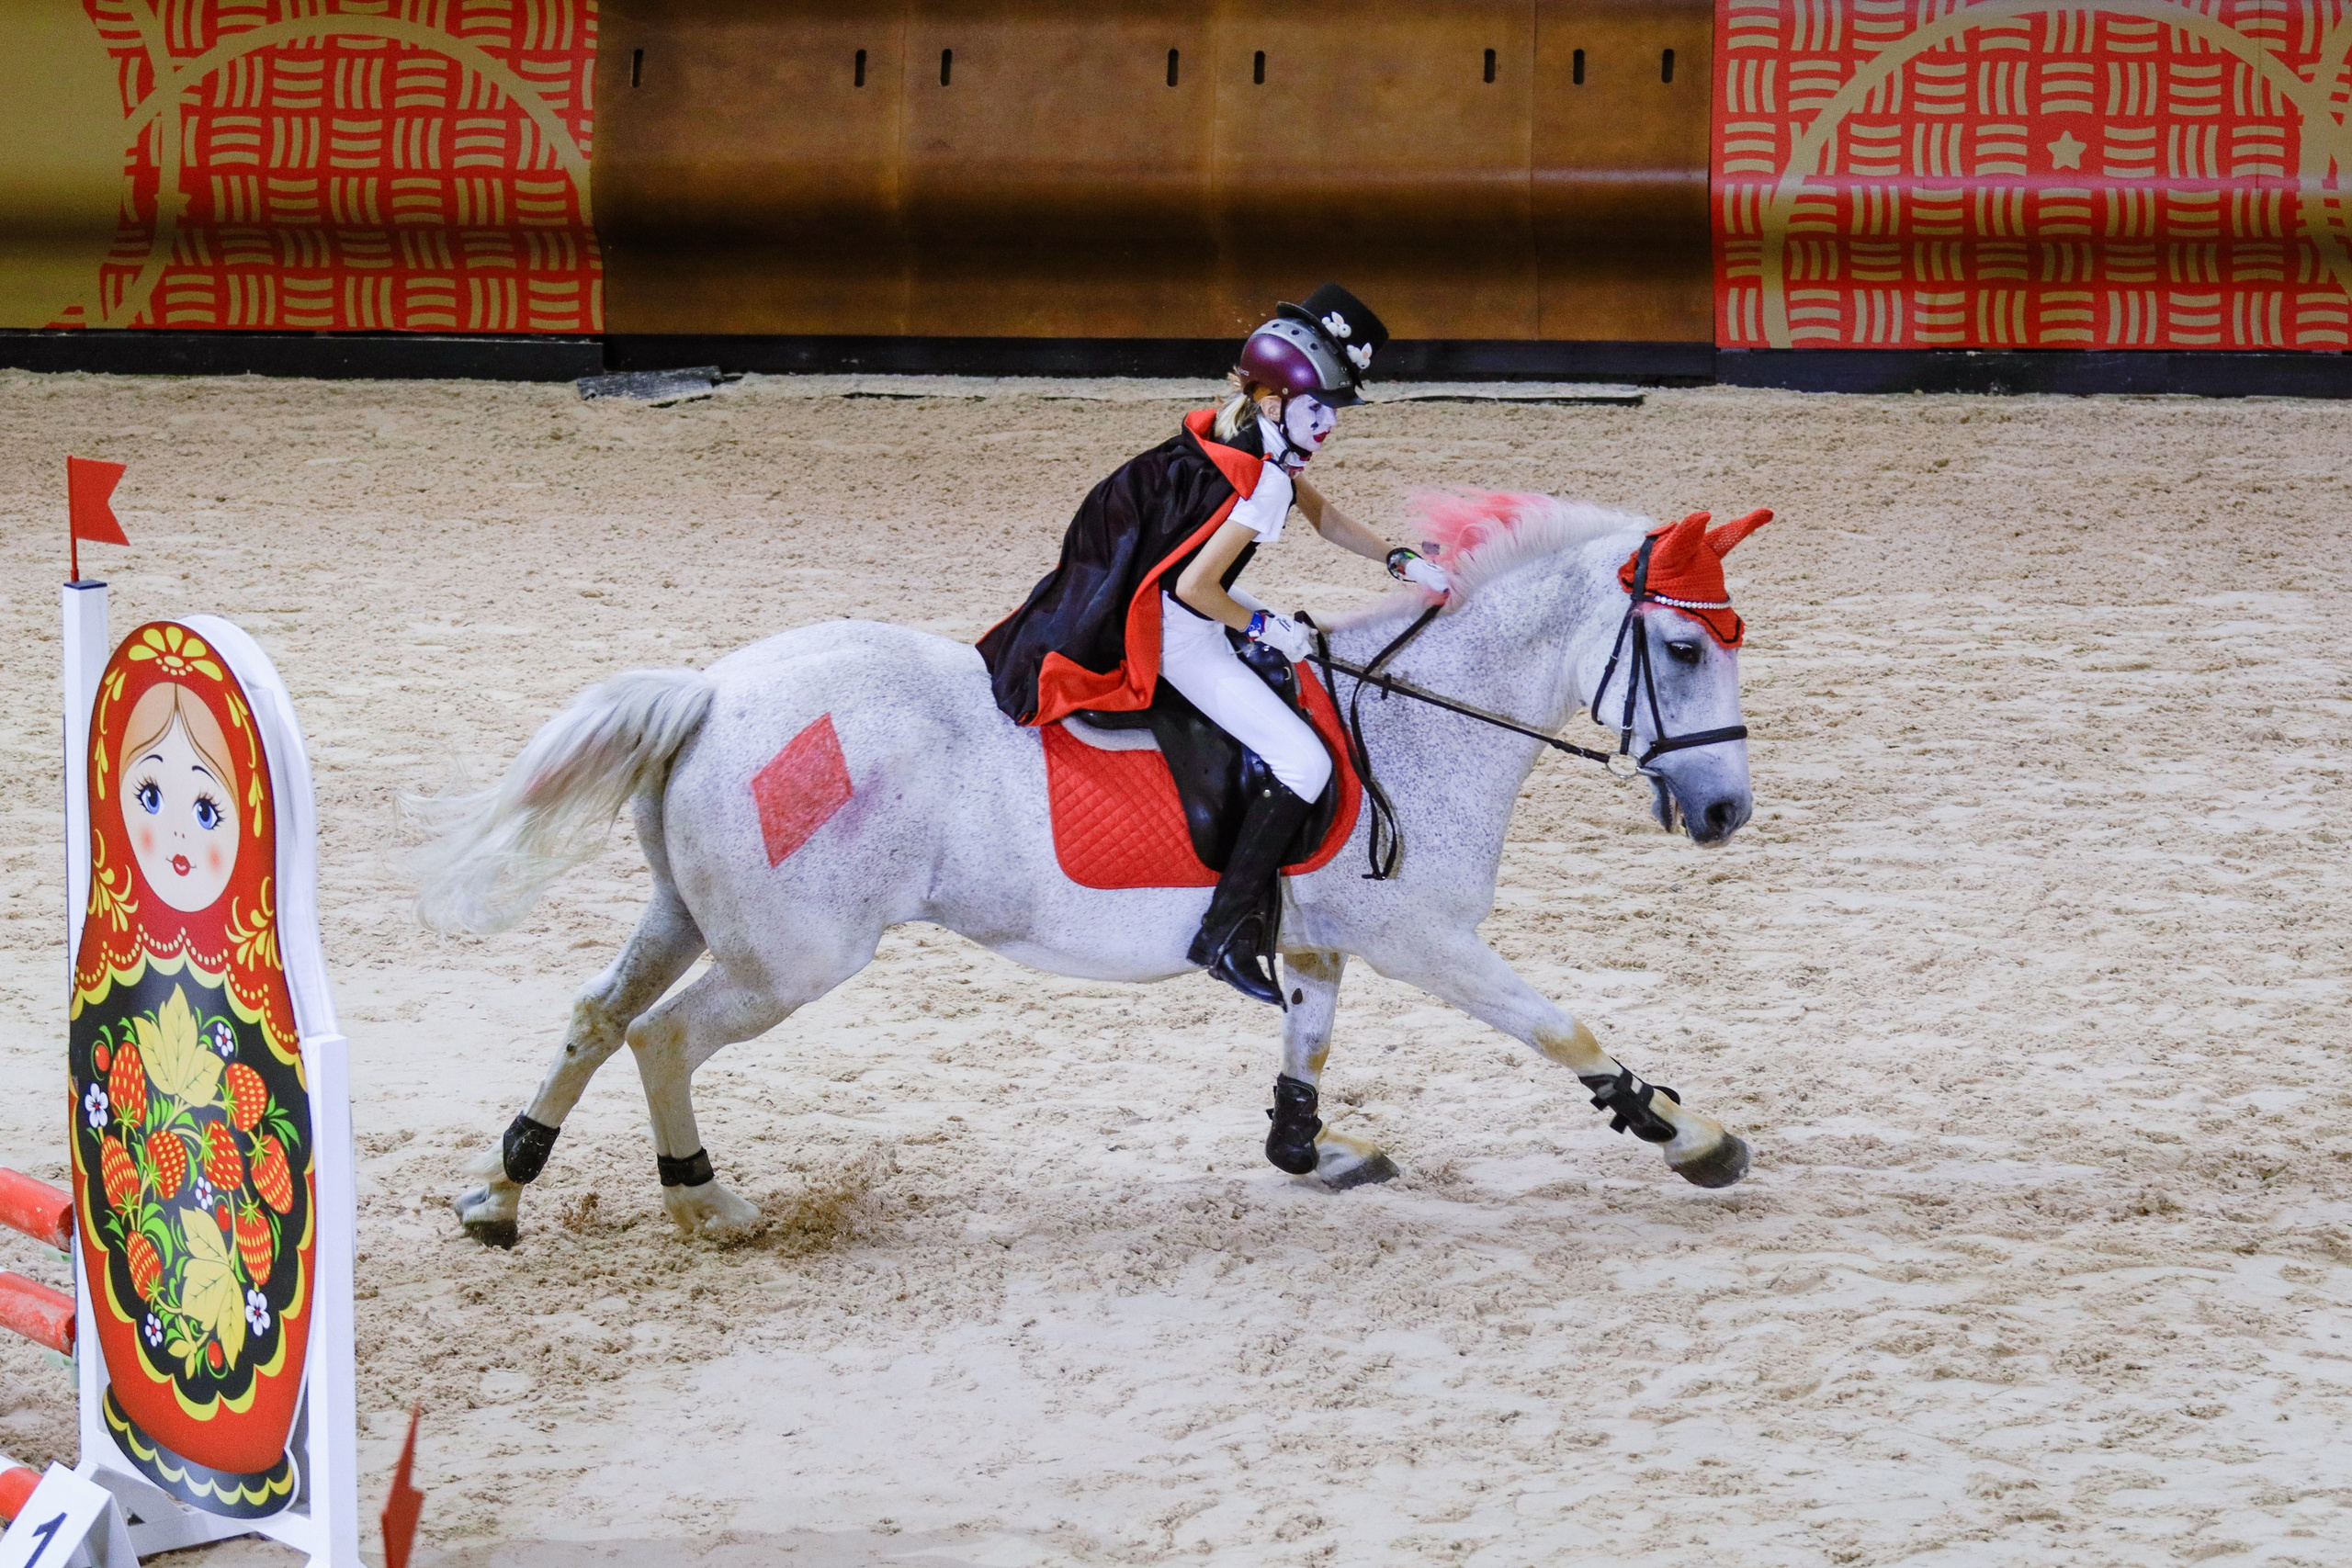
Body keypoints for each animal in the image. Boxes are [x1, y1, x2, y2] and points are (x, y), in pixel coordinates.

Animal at [407, 494, 1765, 1244]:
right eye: (1683, 647)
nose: (1725, 810)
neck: (1416, 719)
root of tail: (711, 690)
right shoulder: (1425, 937)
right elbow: (1561, 1026)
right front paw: (1689, 1134)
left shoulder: (1315, 939)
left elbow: (1307, 1049)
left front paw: (1311, 1153)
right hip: (789, 958)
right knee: (664, 1038)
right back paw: (705, 1203)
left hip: (693, 914)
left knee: (597, 1015)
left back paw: (499, 1192)